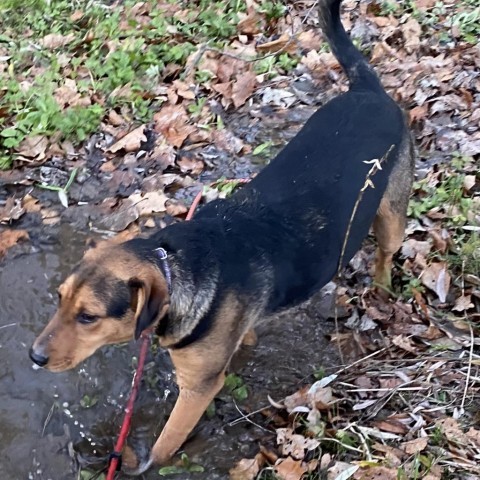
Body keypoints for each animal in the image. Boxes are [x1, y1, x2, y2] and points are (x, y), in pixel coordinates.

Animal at [30, 0, 414, 472]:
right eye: (59, 299)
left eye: (89, 317)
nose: (34, 357)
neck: (175, 269)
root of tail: (370, 92)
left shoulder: (197, 388)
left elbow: (164, 446)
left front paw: (144, 465)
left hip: (391, 214)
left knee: (386, 254)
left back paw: (381, 287)